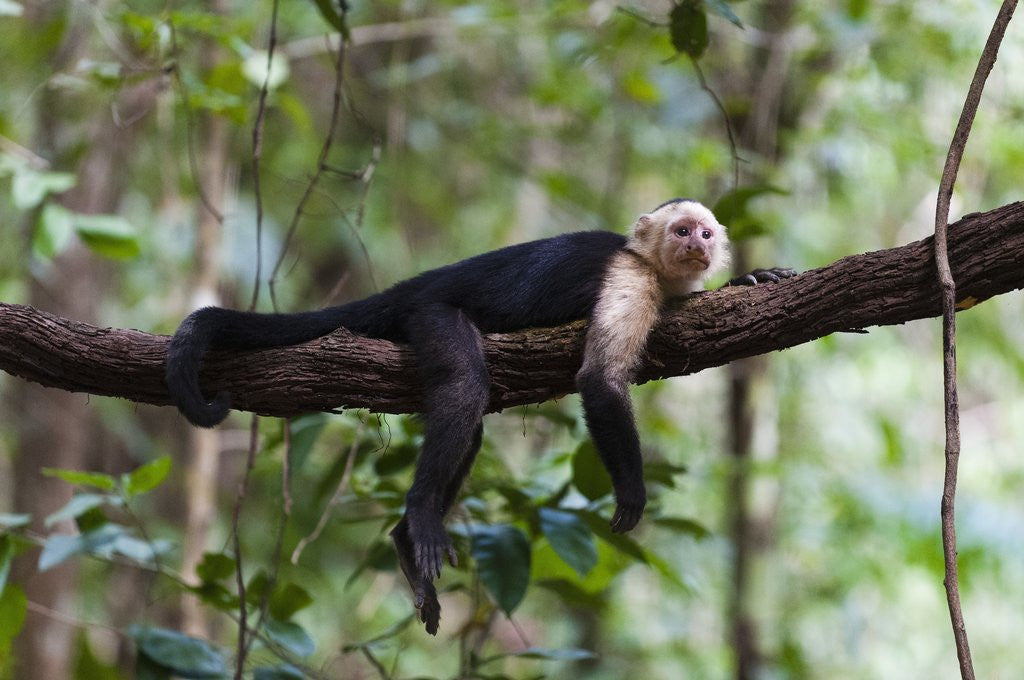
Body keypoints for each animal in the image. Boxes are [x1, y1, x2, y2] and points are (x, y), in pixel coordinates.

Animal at [164, 198, 795, 634]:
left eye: (706, 232)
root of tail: (421, 282)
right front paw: (632, 491)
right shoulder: (629, 278)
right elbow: (599, 379)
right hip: (432, 313)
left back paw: (404, 540)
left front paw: (749, 278)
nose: (698, 246)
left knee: (469, 425)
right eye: (680, 229)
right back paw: (419, 515)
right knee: (466, 390)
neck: (652, 267)